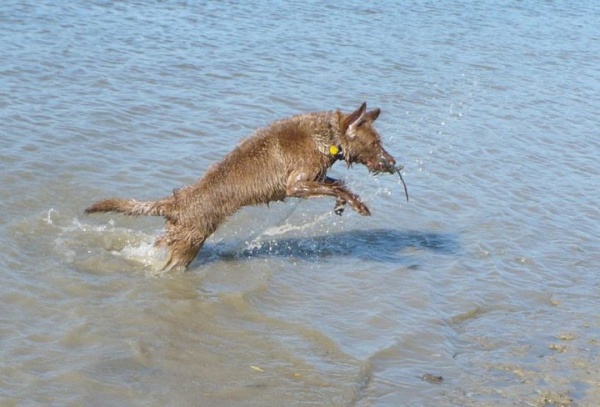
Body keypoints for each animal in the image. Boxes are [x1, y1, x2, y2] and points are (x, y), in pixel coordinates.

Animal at [85, 103, 404, 270]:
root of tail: (175, 203)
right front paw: (355, 204)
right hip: (188, 245)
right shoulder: (296, 185)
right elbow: (336, 188)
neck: (326, 136)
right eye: (375, 143)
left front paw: (346, 202)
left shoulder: (316, 178)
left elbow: (339, 183)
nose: (392, 161)